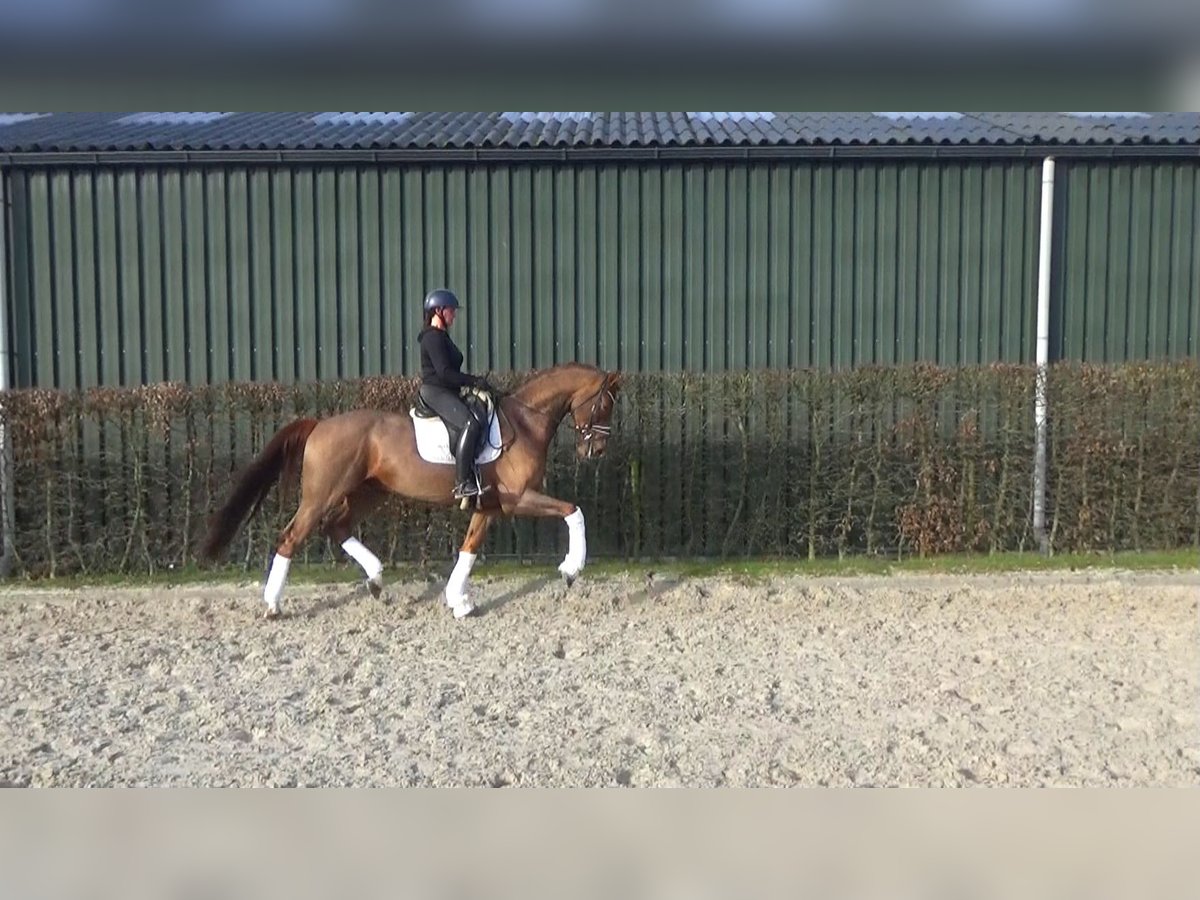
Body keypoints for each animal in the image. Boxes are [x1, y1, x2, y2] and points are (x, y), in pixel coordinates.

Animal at [199, 363, 620, 619]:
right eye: (604, 405)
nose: (598, 450)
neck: (524, 422)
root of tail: (320, 425)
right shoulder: (518, 498)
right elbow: (573, 510)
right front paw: (571, 569)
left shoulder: (490, 505)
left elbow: (469, 547)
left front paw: (458, 601)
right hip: (322, 495)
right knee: (291, 537)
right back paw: (273, 606)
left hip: (370, 492)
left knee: (338, 527)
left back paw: (375, 580)